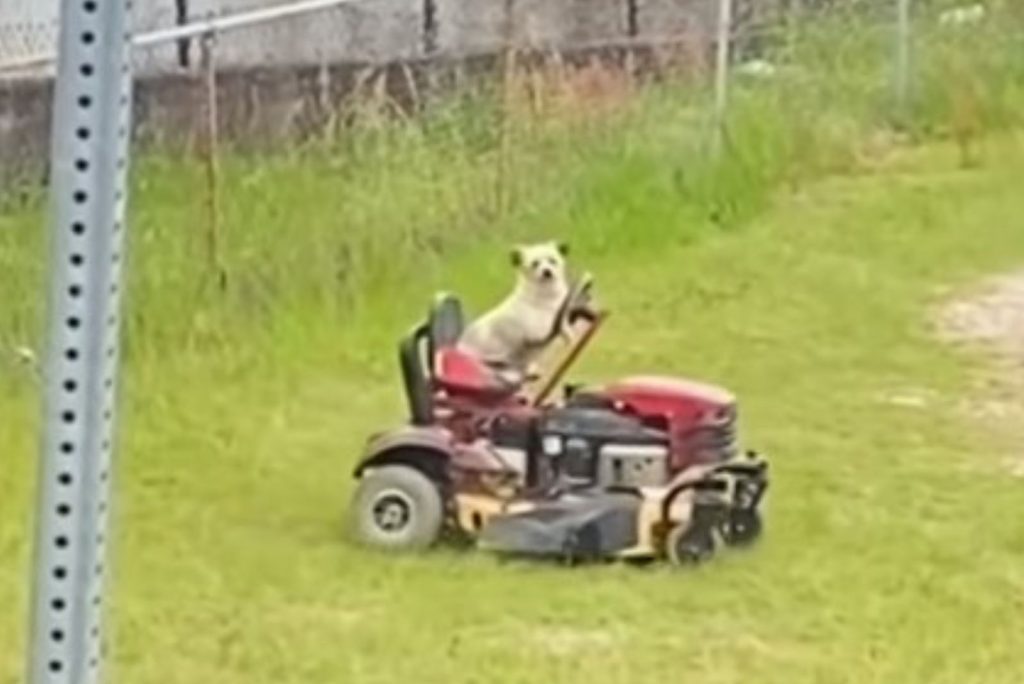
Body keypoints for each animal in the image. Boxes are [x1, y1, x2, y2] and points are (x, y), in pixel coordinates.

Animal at [460, 239, 573, 385]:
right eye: (535, 264)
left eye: (552, 260)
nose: (547, 271)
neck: (545, 295)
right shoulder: (537, 333)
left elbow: (565, 326)